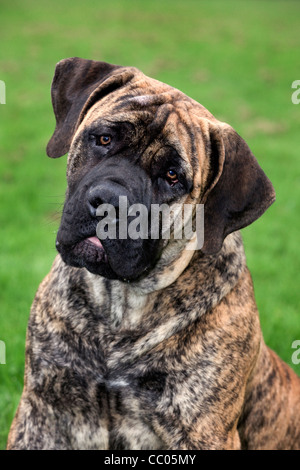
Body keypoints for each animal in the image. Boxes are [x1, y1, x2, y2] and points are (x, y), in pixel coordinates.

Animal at [6, 58, 300, 452]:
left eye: (173, 176)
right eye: (104, 139)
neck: (119, 307)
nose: (110, 202)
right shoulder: (43, 412)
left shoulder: (202, 432)